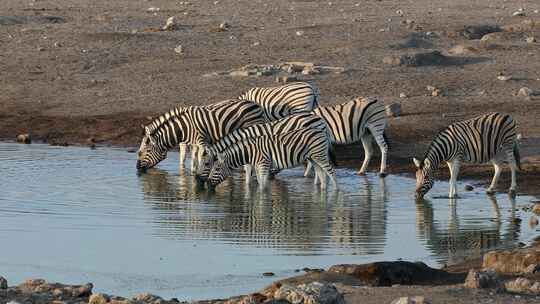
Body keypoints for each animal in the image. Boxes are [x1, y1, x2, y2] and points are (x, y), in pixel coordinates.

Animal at [137, 99, 268, 171]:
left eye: (144, 152)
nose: (137, 168)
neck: (183, 128)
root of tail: (255, 104)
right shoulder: (190, 143)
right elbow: (187, 159)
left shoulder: (201, 141)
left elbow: (200, 159)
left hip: (253, 125)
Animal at [195, 113, 330, 184]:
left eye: (207, 164)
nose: (197, 179)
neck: (244, 137)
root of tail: (320, 119)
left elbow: (248, 171)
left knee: (313, 164)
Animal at [205, 126, 336, 190]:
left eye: (216, 169)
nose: (207, 184)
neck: (250, 152)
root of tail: (321, 131)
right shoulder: (258, 166)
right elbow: (260, 182)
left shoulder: (264, 163)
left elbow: (262, 185)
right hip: (313, 158)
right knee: (322, 175)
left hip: (320, 155)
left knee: (331, 172)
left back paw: (336, 192)